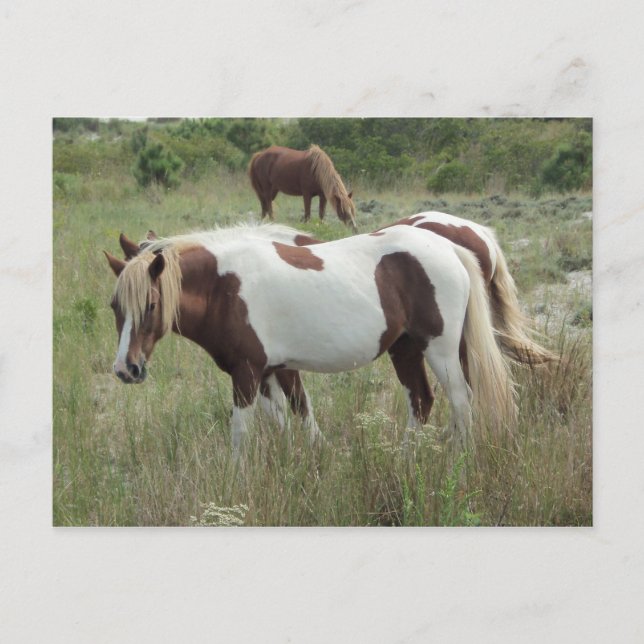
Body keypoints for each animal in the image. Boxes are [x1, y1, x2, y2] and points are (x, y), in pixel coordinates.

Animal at [105, 224, 516, 455]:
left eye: (151, 304)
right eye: (114, 306)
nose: (127, 369)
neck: (224, 287)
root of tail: (448, 247)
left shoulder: (247, 373)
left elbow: (242, 433)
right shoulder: (272, 371)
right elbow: (293, 420)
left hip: (440, 349)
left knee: (461, 400)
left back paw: (457, 460)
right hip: (405, 349)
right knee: (421, 400)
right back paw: (405, 460)